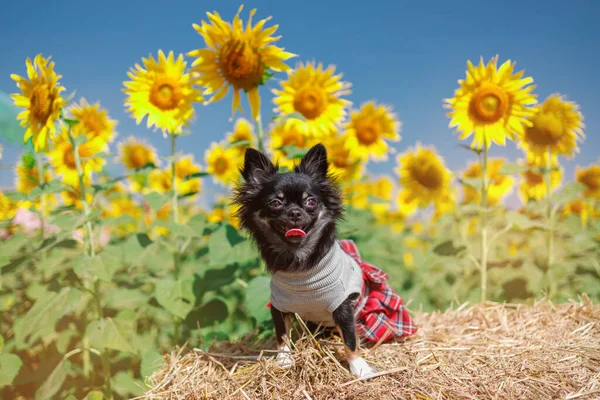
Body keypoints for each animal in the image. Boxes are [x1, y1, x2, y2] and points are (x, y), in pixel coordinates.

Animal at [232, 143, 414, 378]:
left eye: (311, 201)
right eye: (275, 203)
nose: (294, 212)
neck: (300, 263)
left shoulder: (343, 307)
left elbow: (350, 340)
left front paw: (359, 367)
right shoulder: (279, 305)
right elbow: (282, 335)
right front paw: (284, 360)